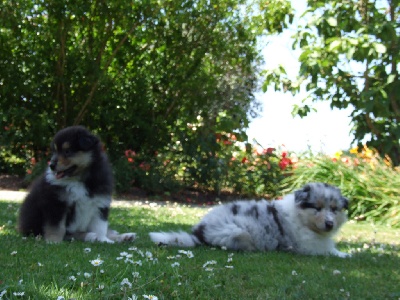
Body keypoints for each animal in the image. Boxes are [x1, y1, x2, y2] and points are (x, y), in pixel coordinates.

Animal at [149, 182, 350, 256]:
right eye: (317, 208)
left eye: (334, 209)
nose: (330, 224)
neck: (302, 217)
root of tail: (200, 232)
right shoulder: (308, 245)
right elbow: (329, 251)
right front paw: (345, 255)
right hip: (238, 232)